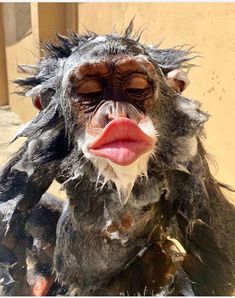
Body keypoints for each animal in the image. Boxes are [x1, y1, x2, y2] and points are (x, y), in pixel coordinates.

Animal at [0, 21, 234, 296]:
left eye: (135, 88)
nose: (116, 114)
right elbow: (11, 210)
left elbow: (219, 258)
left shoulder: (187, 155)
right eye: (90, 91)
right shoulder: (40, 145)